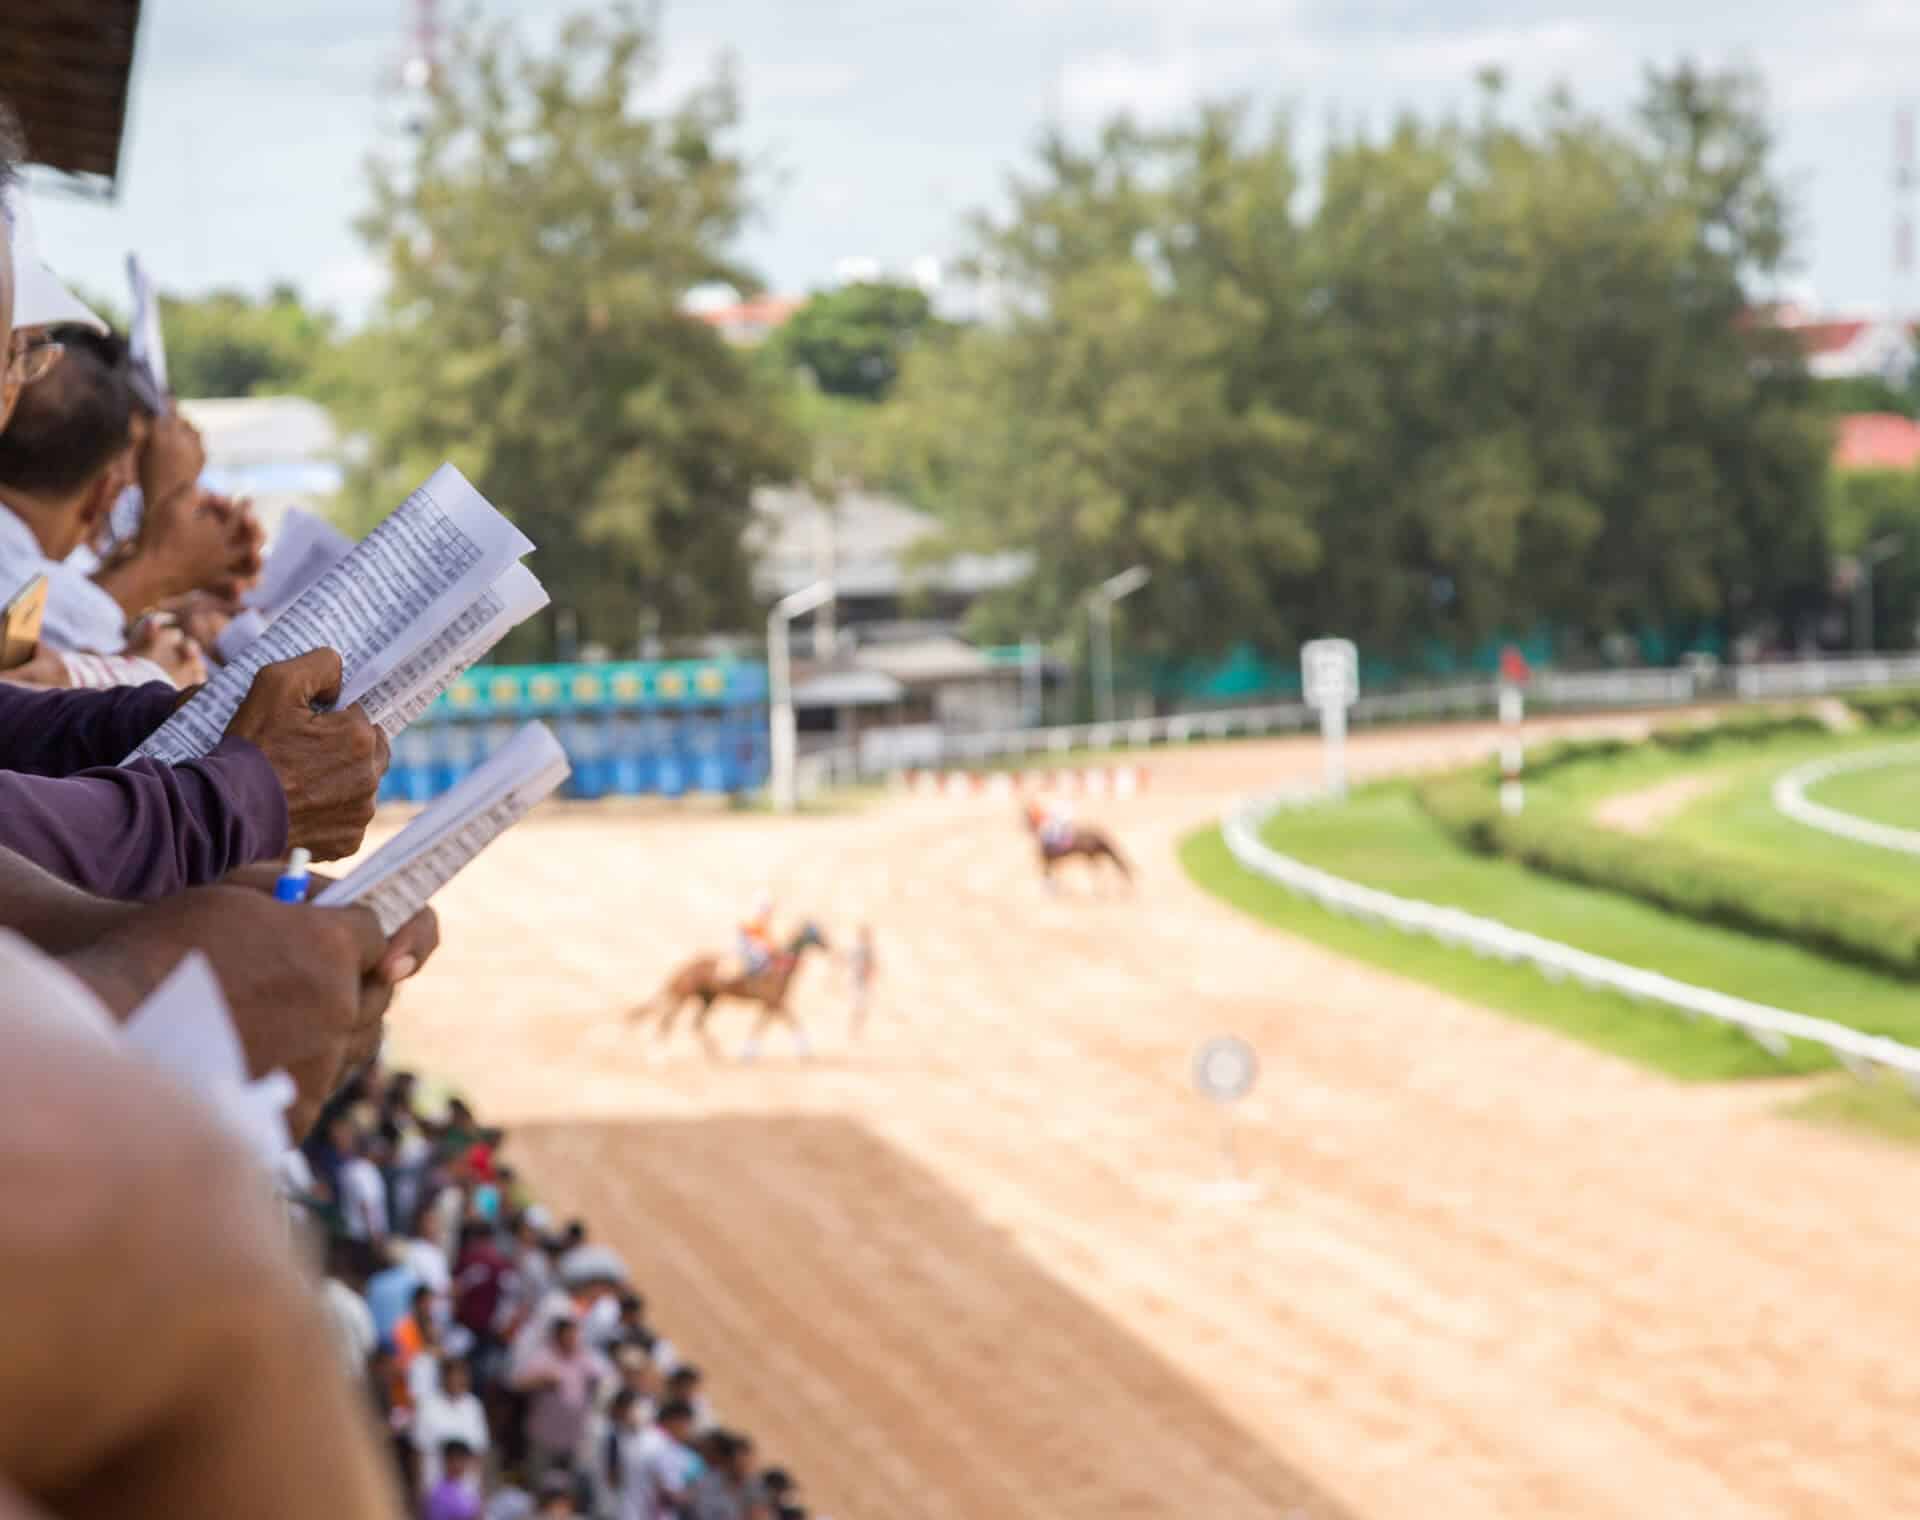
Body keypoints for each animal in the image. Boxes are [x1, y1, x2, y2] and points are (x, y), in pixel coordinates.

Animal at [629, 921, 833, 1059]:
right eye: (815, 931)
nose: (828, 945)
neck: (779, 969)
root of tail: (684, 967)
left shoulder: (771, 1002)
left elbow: (765, 1024)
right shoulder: (774, 1000)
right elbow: (789, 1020)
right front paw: (806, 1052)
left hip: (708, 997)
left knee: (696, 1023)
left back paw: (716, 1054)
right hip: (687, 994)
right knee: (668, 1020)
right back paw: (658, 1056)